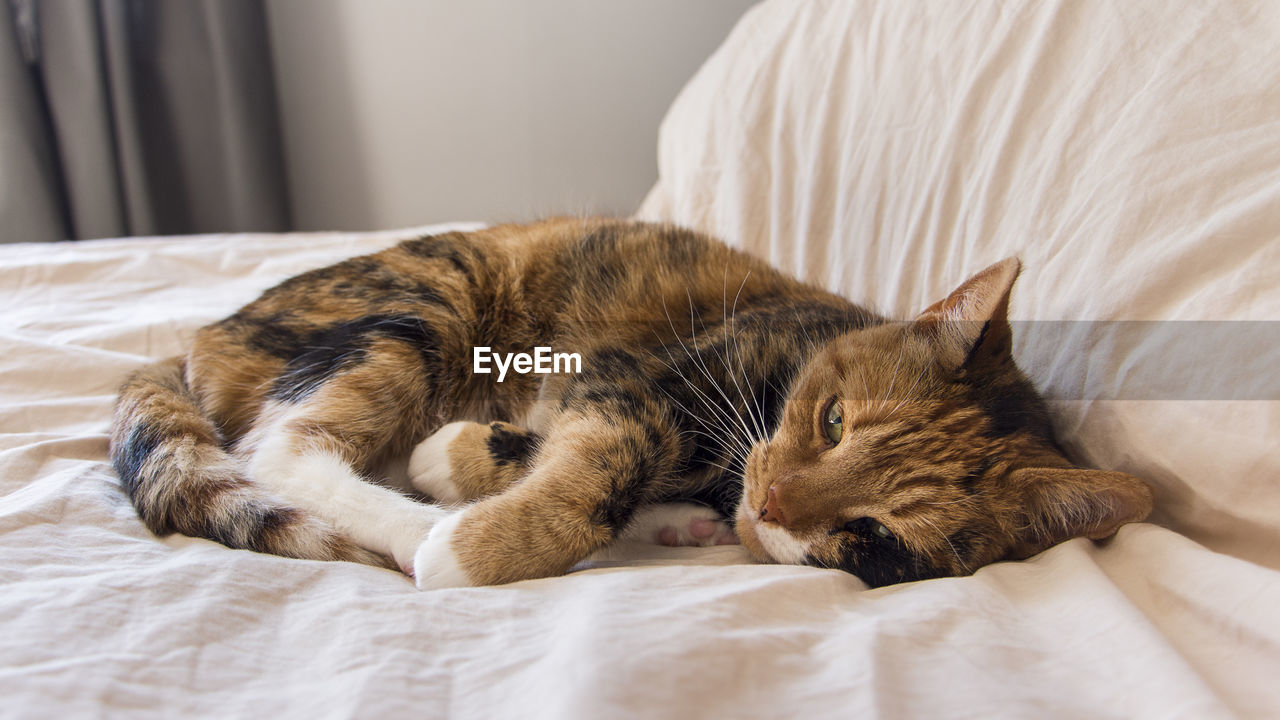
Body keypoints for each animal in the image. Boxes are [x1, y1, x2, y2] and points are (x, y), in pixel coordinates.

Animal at [107, 219, 1152, 589]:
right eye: (833, 421)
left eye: (878, 534)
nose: (772, 505)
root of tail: (201, 338)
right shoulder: (641, 379)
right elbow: (602, 466)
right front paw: (469, 540)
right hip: (434, 299)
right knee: (282, 446)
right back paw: (412, 530)